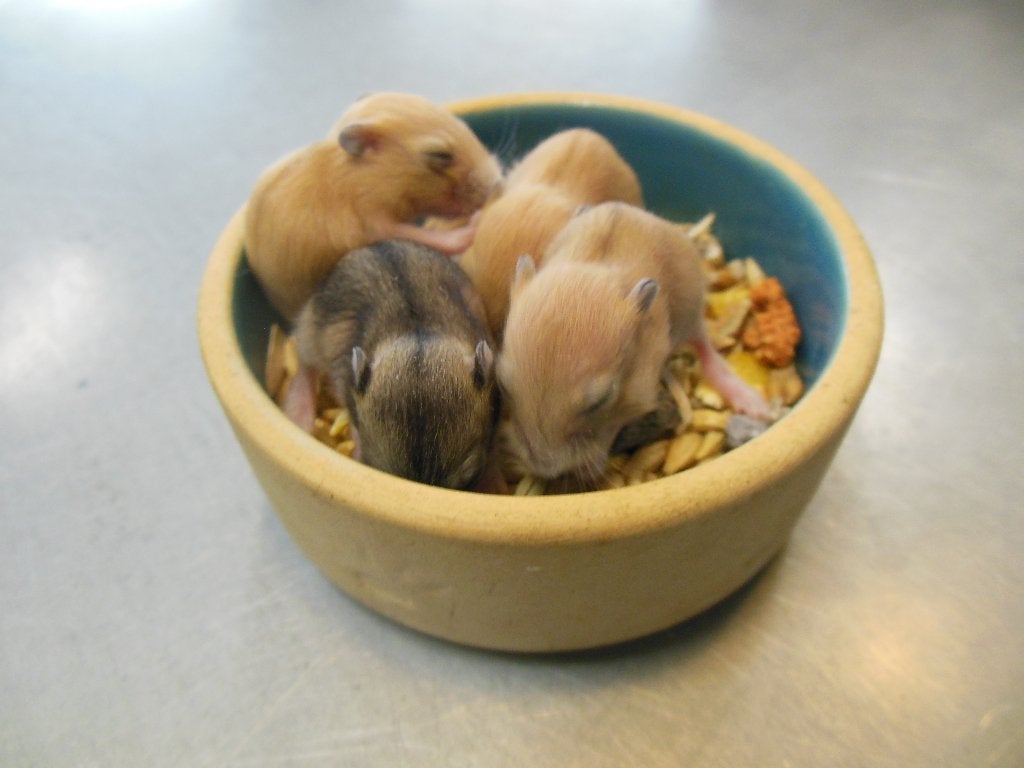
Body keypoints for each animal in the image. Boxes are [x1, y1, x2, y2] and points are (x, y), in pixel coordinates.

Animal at [245, 92, 502, 321]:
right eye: (439, 155)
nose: (497, 182)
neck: (357, 176)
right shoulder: (375, 223)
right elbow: (436, 239)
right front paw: (476, 222)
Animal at [289, 239, 499, 489]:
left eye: (471, 476)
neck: (417, 331)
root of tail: (375, 244)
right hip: (309, 332)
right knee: (305, 367)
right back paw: (299, 418)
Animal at [497, 202, 770, 483]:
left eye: (601, 400)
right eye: (503, 386)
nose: (544, 468)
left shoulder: (641, 390)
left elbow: (615, 423)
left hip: (692, 309)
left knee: (704, 347)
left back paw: (757, 406)